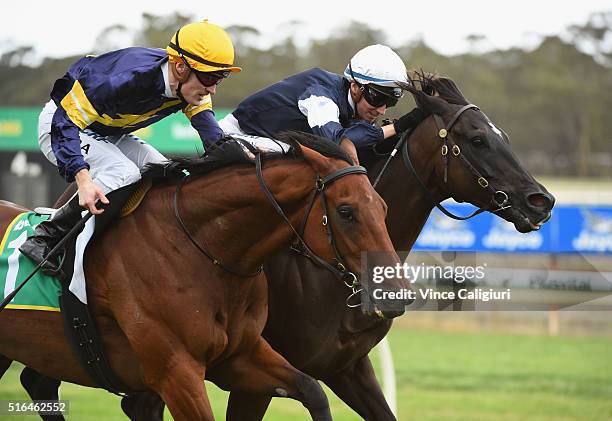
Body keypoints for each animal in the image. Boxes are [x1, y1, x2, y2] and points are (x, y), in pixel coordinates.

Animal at [0, 135, 406, 420]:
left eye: (384, 207)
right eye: (346, 211)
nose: (395, 295)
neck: (199, 250)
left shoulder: (240, 356)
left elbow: (313, 391)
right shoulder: (176, 374)